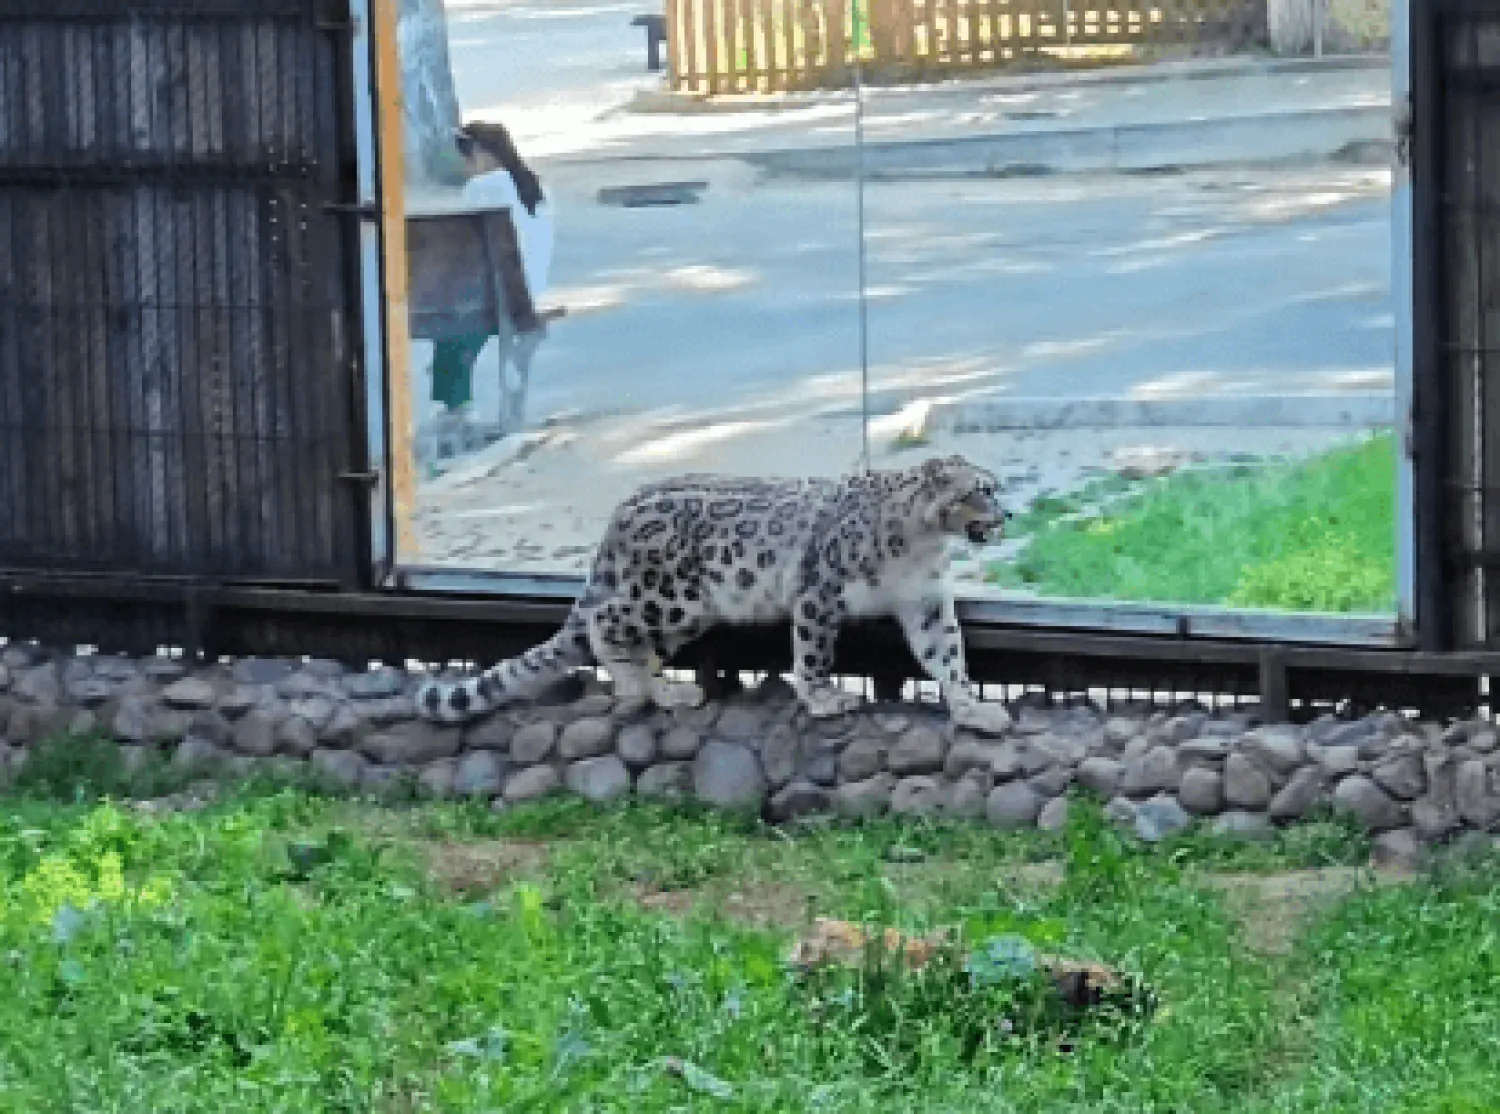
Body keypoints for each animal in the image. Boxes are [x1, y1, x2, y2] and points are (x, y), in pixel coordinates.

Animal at [417, 458, 1014, 737]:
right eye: (980, 489)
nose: (1008, 514)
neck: (922, 546)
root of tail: (620, 512)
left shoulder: (927, 603)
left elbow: (948, 657)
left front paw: (974, 709)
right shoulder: (819, 593)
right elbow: (814, 653)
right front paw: (823, 699)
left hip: (686, 613)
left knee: (645, 645)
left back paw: (665, 690)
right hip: (668, 595)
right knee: (604, 620)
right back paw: (636, 685)